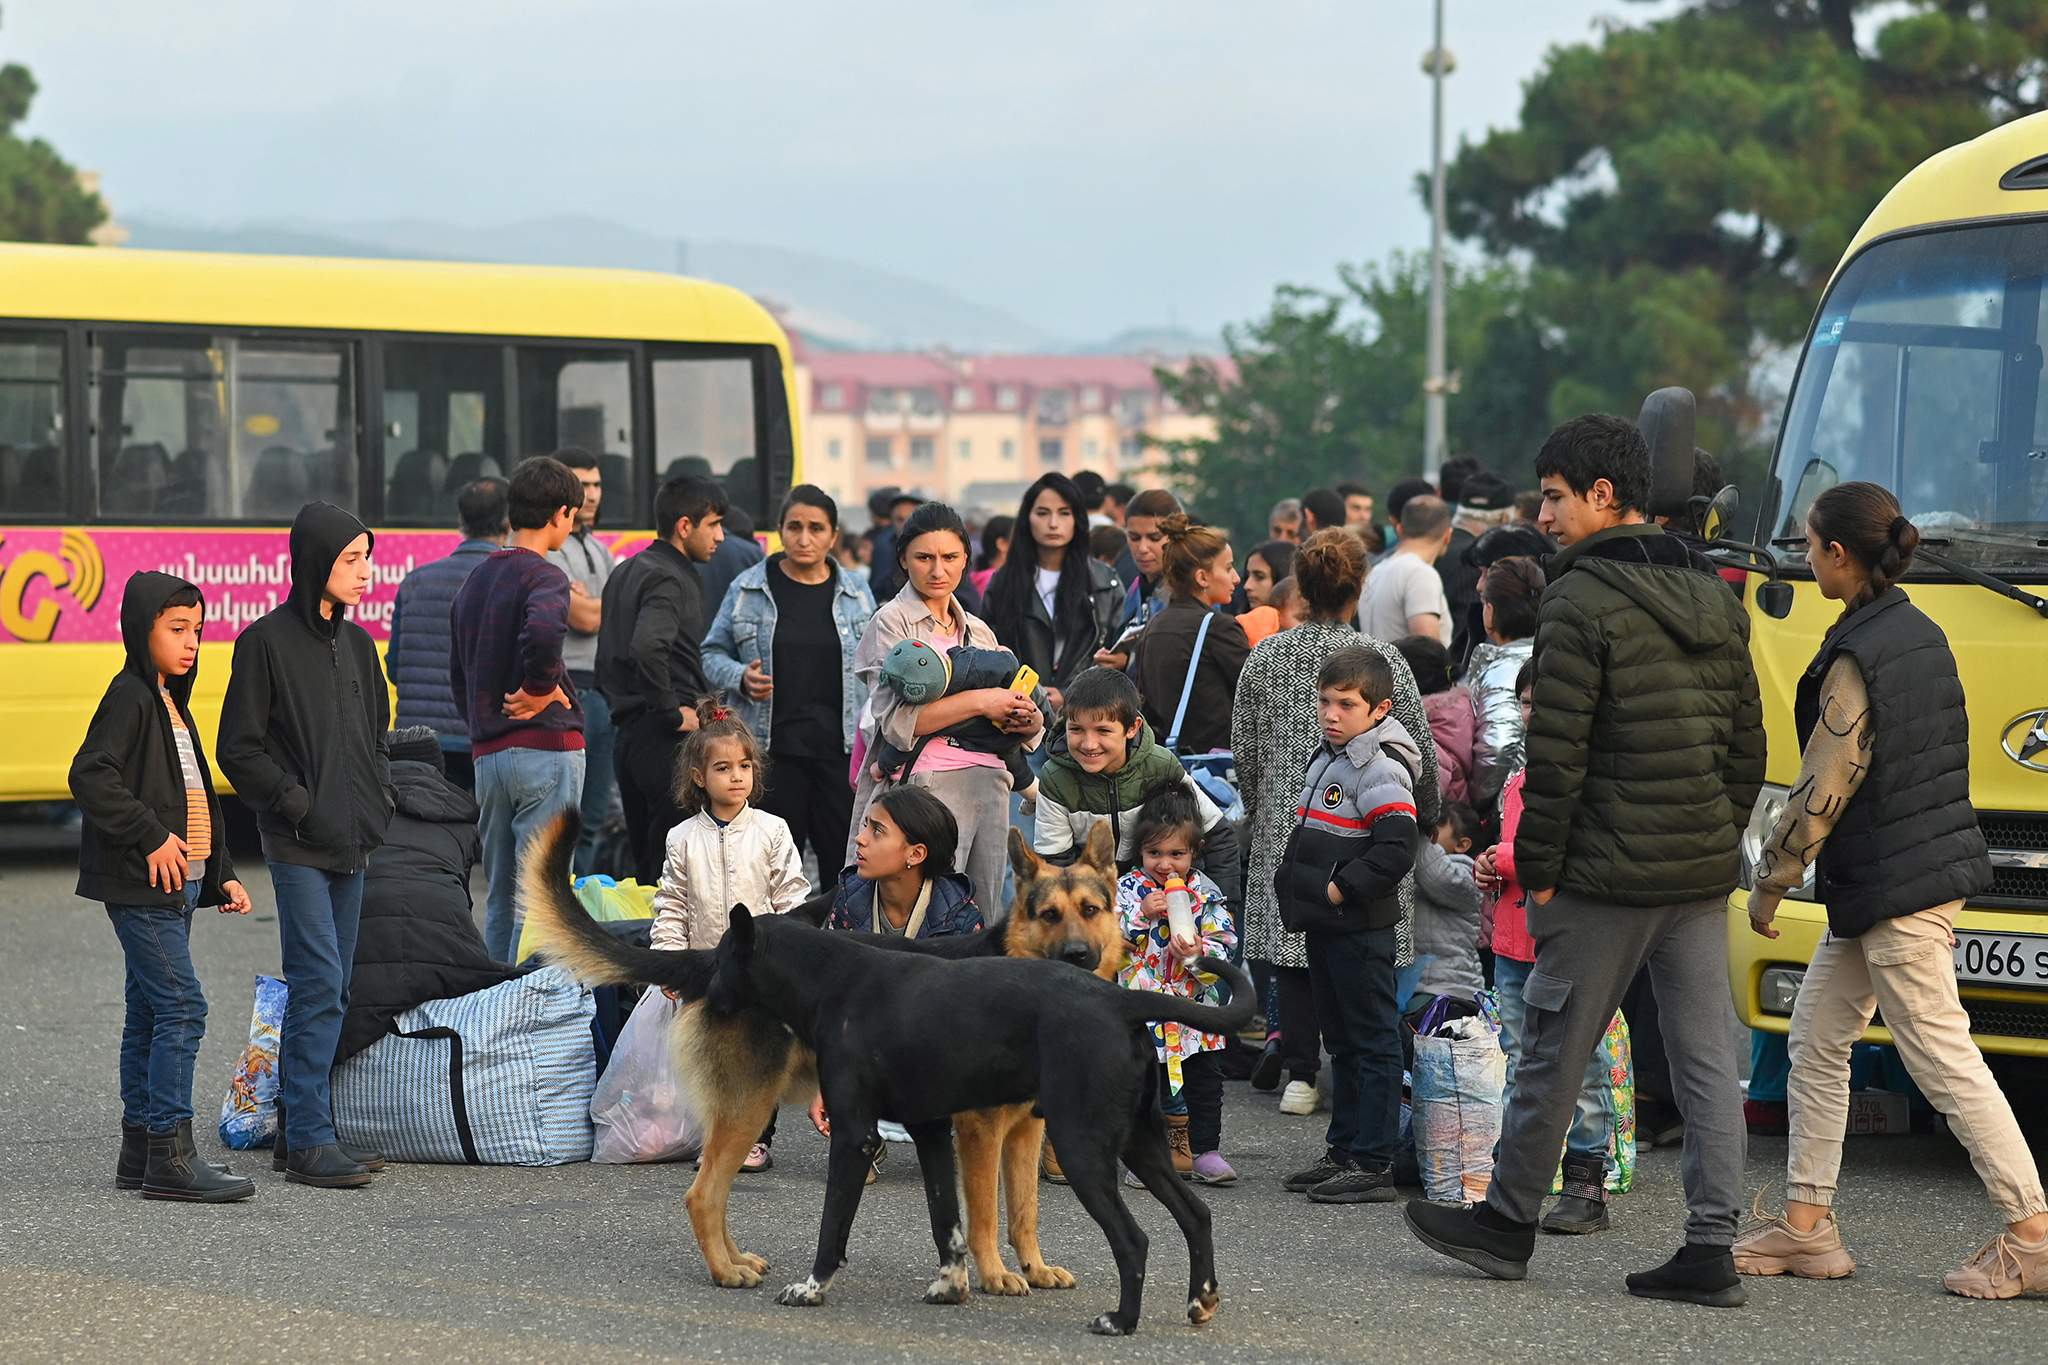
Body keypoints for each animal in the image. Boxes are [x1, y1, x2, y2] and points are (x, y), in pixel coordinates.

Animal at [524, 810, 1245, 1334]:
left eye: (1092, 910)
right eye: (1049, 913)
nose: (1079, 954)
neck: (831, 975)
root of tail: (1118, 1000)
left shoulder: (966, 1133)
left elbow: (995, 1214)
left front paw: (999, 1274)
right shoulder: (958, 1132)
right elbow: (972, 1219)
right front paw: (982, 1277)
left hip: (1097, 1144)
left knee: (1151, 1231)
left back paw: (1136, 1315)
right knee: (706, 1192)